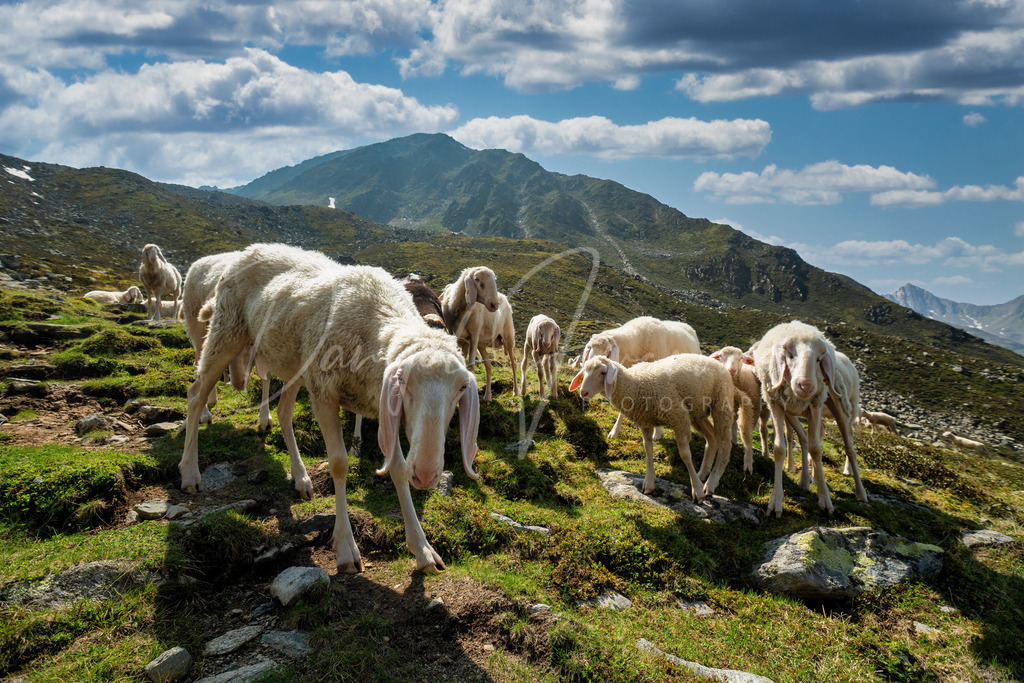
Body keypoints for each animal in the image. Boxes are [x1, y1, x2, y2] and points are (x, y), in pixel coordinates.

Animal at [179, 243, 480, 574]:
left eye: (461, 389)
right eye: (402, 381)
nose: (426, 475)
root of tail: (250, 249)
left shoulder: (381, 405)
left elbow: (399, 470)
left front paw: (422, 549)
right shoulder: (325, 393)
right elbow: (339, 464)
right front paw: (346, 547)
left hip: (295, 363)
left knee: (283, 412)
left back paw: (301, 478)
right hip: (226, 330)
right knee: (195, 394)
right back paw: (190, 472)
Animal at [569, 354, 751, 501]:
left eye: (602, 372)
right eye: (584, 372)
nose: (583, 393)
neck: (636, 384)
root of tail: (721, 366)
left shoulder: (679, 418)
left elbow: (685, 455)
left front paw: (698, 492)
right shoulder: (646, 422)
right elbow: (648, 449)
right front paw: (649, 483)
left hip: (721, 404)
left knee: (725, 446)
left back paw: (710, 483)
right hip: (696, 414)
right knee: (712, 438)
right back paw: (701, 474)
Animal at [709, 346, 768, 474]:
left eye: (741, 357)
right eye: (720, 356)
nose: (731, 370)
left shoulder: (754, 407)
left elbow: (746, 431)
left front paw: (748, 461)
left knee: (763, 429)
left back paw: (765, 453)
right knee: (734, 421)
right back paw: (734, 440)